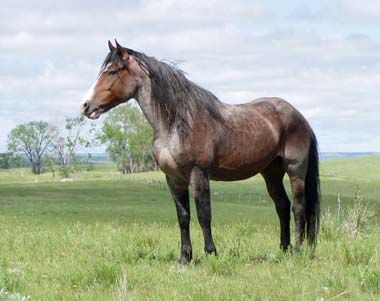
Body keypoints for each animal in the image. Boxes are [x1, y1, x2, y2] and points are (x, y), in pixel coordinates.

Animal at [81, 39, 320, 262]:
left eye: (112, 71)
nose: (85, 105)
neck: (177, 123)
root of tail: (299, 117)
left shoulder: (198, 174)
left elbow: (204, 215)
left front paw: (210, 253)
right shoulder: (173, 178)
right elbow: (183, 216)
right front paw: (184, 257)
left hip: (295, 171)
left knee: (298, 207)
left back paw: (297, 250)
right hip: (271, 172)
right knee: (282, 205)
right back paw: (283, 249)